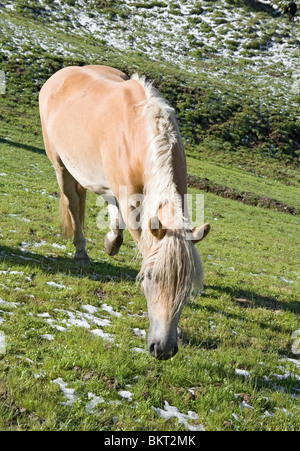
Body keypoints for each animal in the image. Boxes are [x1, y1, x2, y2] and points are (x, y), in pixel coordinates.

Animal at [38, 64, 210, 360]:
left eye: (188, 287)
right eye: (151, 278)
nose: (164, 349)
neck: (139, 131)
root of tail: (59, 75)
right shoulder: (131, 205)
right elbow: (144, 246)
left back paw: (110, 242)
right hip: (61, 166)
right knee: (73, 203)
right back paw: (81, 252)